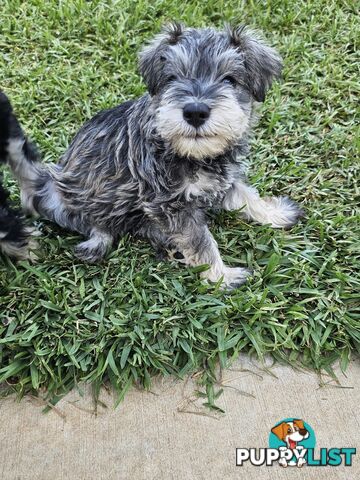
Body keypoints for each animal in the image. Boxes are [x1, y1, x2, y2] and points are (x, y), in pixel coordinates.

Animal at [1, 24, 302, 286]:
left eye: (230, 79)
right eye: (172, 78)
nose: (195, 112)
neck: (192, 153)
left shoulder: (223, 178)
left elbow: (247, 196)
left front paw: (275, 212)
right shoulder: (170, 204)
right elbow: (201, 241)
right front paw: (221, 276)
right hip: (61, 195)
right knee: (95, 224)